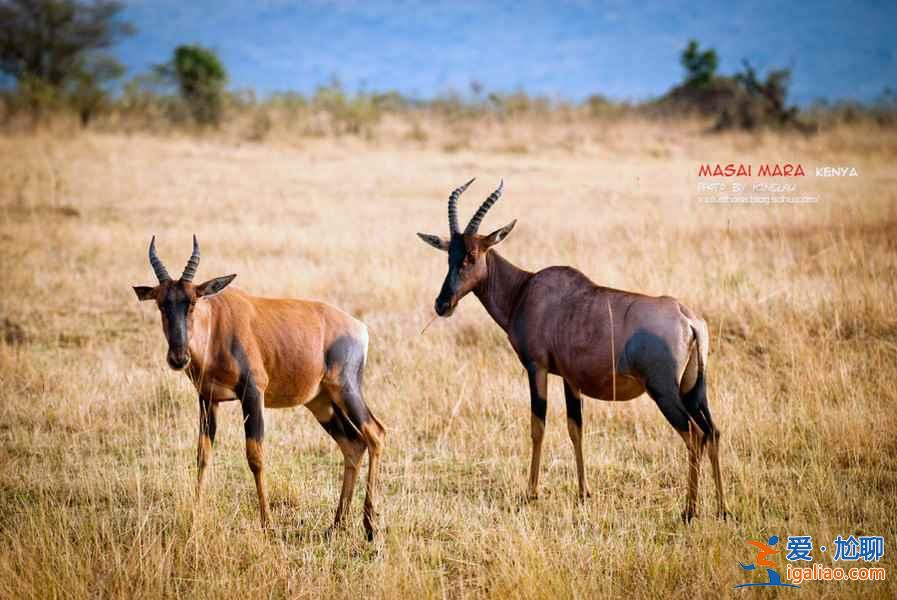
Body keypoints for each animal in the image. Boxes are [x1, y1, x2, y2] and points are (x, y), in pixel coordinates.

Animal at [131, 236, 384, 540]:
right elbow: (203, 455)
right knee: (353, 444)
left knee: (375, 433)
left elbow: (255, 456)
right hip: (322, 403)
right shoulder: (207, 399)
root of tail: (359, 328)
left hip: (346, 390)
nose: (178, 358)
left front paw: (268, 526)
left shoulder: (252, 393)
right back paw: (335, 526)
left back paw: (370, 527)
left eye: (192, 302)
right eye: (160, 303)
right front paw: (193, 522)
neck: (217, 324)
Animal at [420, 180, 728, 524]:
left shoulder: (537, 368)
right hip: (693, 389)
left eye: (473, 255)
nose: (442, 304)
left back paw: (688, 510)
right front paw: (583, 493)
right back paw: (722, 509)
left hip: (664, 391)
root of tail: (687, 318)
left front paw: (531, 494)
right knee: (712, 432)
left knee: (693, 434)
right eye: (449, 255)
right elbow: (575, 428)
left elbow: (538, 427)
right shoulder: (571, 378)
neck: (526, 289)